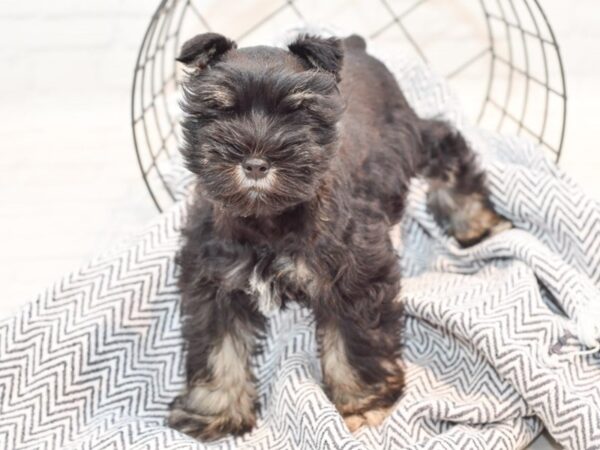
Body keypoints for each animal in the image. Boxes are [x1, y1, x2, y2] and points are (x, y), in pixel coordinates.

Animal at [166, 33, 508, 442]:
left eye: (297, 112)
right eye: (221, 110)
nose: (255, 164)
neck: (270, 219)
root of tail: (356, 46)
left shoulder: (354, 279)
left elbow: (352, 339)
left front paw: (363, 401)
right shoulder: (214, 281)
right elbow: (218, 348)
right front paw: (214, 411)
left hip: (410, 138)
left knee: (447, 145)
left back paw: (474, 220)